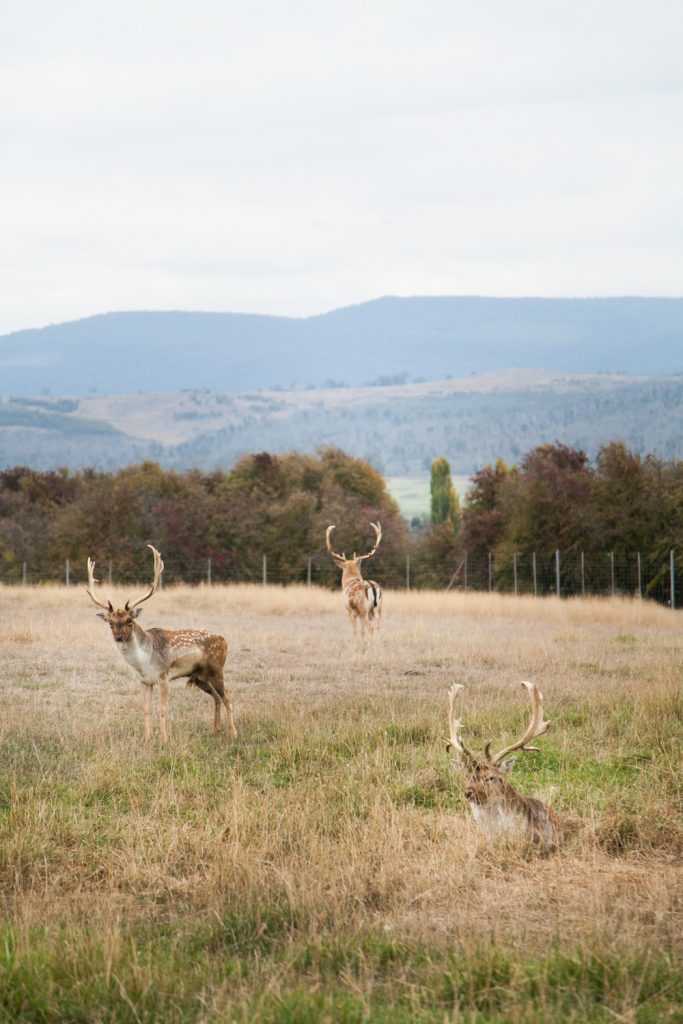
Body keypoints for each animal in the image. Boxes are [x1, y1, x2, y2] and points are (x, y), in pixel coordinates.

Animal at [84, 544, 236, 745]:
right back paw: (215, 730)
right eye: (110, 622)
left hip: (217, 670)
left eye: (129, 620)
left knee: (228, 697)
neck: (143, 663)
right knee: (217, 698)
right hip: (200, 677)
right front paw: (145, 739)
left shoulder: (163, 677)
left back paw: (233, 733)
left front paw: (164, 740)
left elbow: (162, 709)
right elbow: (146, 709)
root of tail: (224, 640)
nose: (118, 637)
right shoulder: (143, 681)